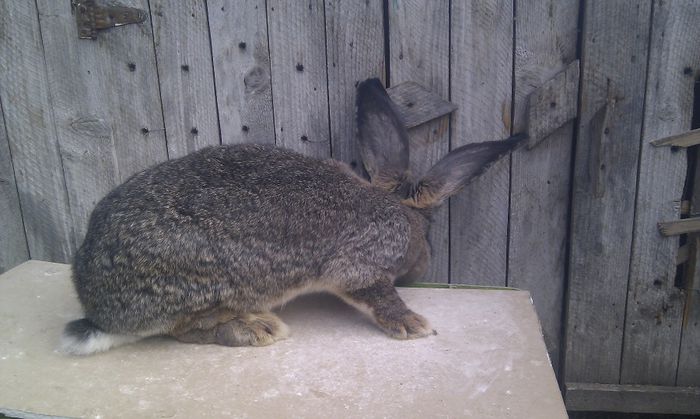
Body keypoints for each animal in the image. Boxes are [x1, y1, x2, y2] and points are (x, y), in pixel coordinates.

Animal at [60, 78, 524, 354]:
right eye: (429, 233)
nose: (422, 268)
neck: (392, 206)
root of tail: (99, 311)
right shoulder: (361, 266)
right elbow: (377, 295)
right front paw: (412, 324)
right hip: (203, 284)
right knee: (183, 329)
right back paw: (255, 329)